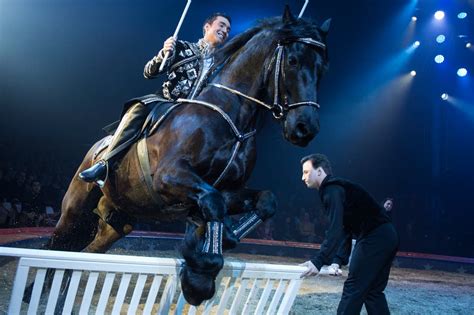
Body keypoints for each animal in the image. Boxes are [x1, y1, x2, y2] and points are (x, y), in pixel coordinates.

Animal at [46, 6, 332, 306]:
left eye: (322, 68)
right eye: (293, 60)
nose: (306, 128)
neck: (231, 119)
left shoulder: (228, 190)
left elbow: (264, 201)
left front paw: (218, 244)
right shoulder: (169, 177)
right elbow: (213, 203)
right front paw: (201, 275)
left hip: (117, 222)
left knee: (84, 252)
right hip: (74, 209)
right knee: (57, 246)